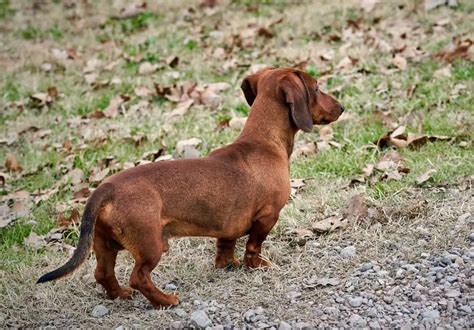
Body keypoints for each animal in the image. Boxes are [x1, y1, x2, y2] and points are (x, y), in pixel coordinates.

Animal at [36, 67, 340, 310]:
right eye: (316, 88)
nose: (342, 107)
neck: (263, 142)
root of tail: (106, 189)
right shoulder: (268, 215)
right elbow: (254, 246)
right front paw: (257, 266)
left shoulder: (228, 224)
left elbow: (225, 245)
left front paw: (228, 265)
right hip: (151, 245)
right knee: (138, 277)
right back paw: (165, 301)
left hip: (104, 243)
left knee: (103, 274)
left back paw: (120, 295)